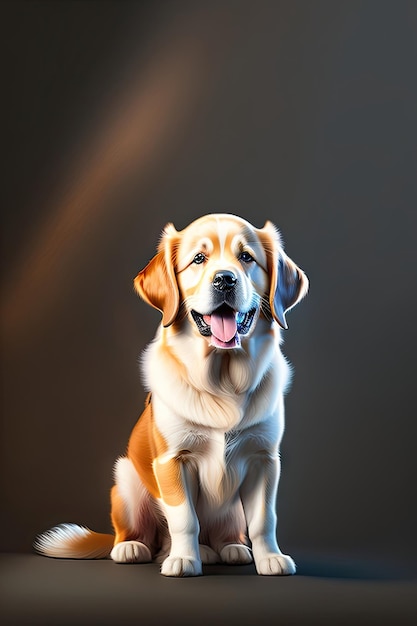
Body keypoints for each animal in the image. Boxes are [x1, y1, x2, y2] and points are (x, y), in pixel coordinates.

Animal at [35, 213, 306, 576]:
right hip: (127, 479)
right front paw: (184, 560)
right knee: (142, 536)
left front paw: (270, 559)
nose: (225, 280)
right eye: (199, 258)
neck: (221, 383)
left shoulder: (263, 460)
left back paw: (229, 548)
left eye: (247, 258)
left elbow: (264, 520)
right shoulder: (172, 461)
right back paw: (137, 548)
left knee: (226, 532)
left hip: (231, 509)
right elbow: (184, 519)